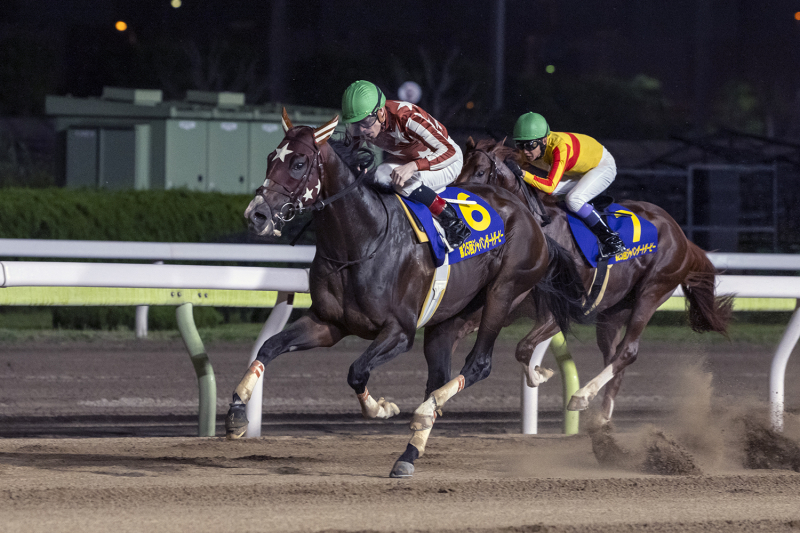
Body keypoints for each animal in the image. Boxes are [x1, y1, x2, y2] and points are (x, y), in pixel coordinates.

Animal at [227, 112, 588, 478]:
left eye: (299, 163)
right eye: (270, 158)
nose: (256, 215)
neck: (362, 241)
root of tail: (531, 218)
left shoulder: (399, 332)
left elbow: (357, 370)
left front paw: (383, 408)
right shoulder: (328, 323)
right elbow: (269, 347)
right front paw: (237, 414)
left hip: (502, 294)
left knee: (478, 365)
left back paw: (424, 415)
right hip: (450, 318)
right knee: (438, 377)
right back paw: (410, 452)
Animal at [456, 139, 732, 422]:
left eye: (480, 172)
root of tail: (680, 235)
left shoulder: (561, 311)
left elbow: (523, 348)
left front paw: (542, 375)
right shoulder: (506, 300)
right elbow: (463, 330)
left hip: (652, 291)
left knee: (627, 351)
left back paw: (582, 396)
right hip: (613, 311)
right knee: (613, 356)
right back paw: (601, 417)